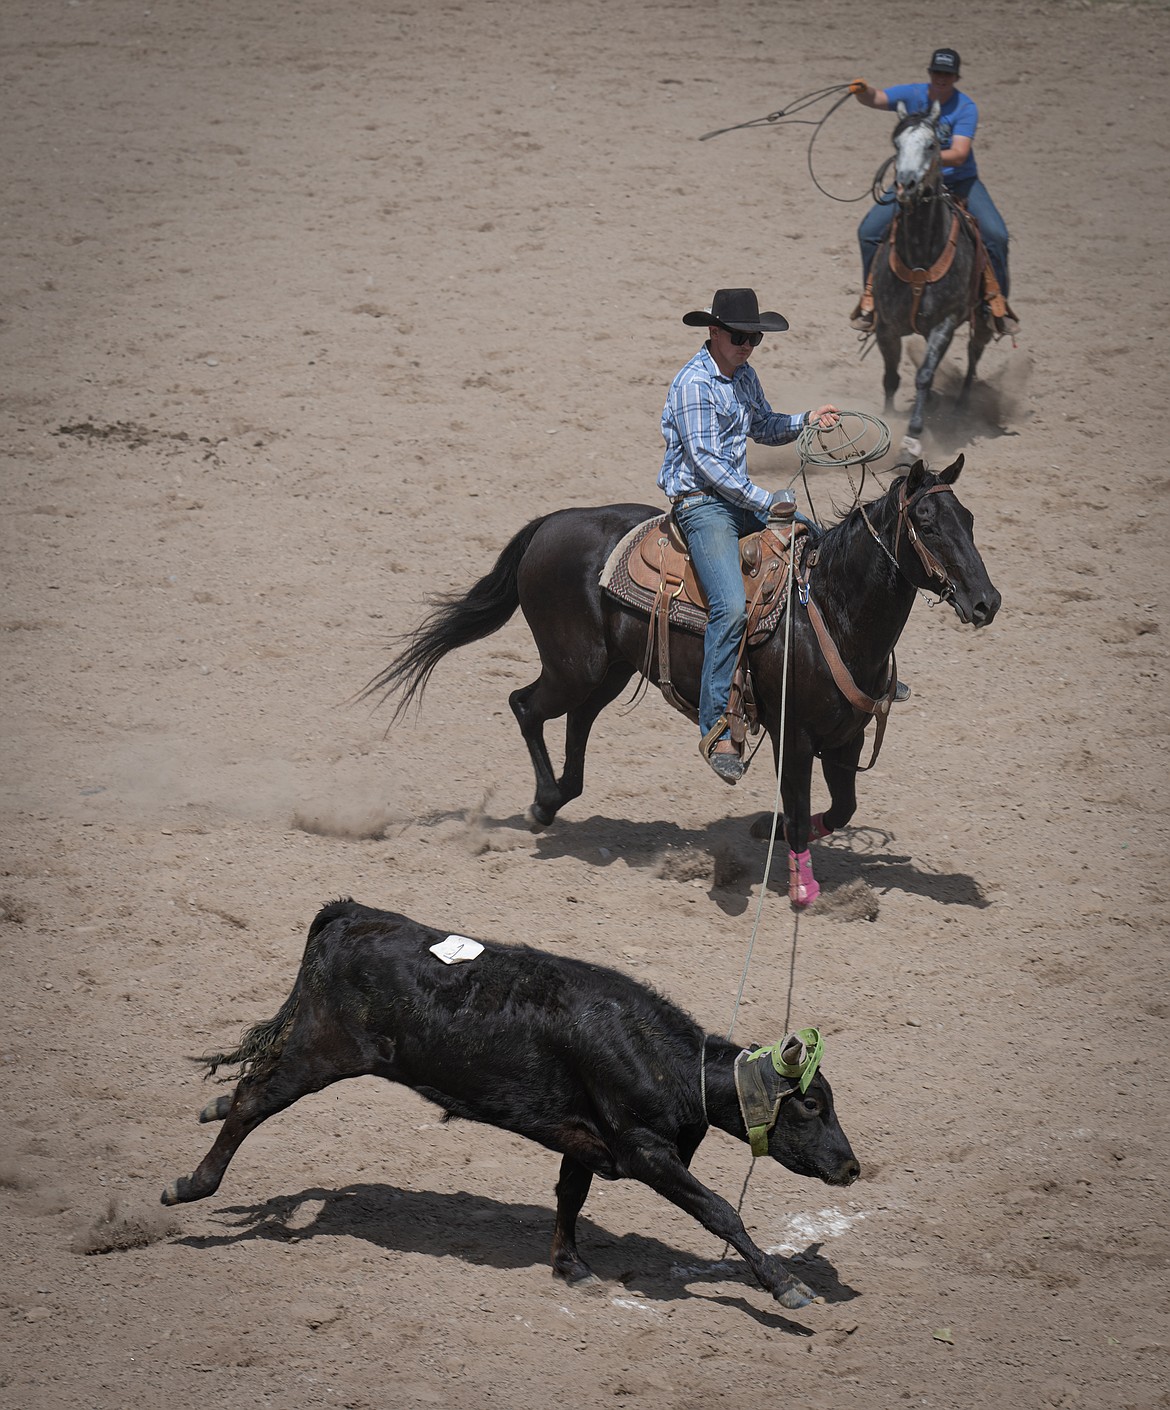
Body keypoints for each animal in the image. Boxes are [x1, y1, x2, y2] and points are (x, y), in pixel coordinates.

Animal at [363, 456, 998, 908]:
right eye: (926, 524)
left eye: (969, 520)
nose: (986, 601)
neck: (829, 608)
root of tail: (549, 524)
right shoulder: (793, 737)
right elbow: (799, 810)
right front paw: (803, 890)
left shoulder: (846, 738)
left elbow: (840, 809)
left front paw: (760, 828)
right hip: (575, 665)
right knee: (525, 705)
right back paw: (542, 805)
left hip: (610, 670)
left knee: (576, 721)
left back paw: (556, 797)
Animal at [873, 104, 992, 437]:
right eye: (896, 144)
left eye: (932, 144)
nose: (906, 185)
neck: (919, 258)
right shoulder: (886, 326)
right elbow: (890, 376)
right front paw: (888, 415)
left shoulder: (945, 323)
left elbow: (925, 374)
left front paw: (915, 427)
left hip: (980, 322)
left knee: (973, 356)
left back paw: (960, 407)